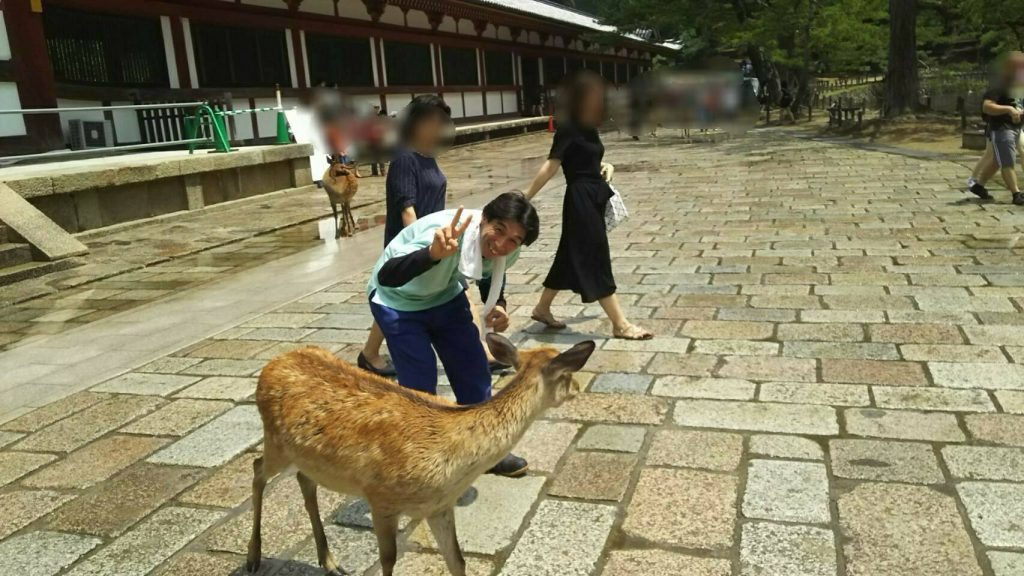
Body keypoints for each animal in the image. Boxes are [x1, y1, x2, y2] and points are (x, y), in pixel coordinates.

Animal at [248, 332, 598, 573]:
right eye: (567, 374)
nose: (578, 387)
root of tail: (271, 364)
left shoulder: (440, 506)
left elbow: (457, 560)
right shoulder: (381, 499)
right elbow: (388, 560)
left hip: (302, 456)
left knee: (304, 481)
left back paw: (329, 561)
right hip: (275, 442)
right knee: (256, 468)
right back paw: (254, 558)